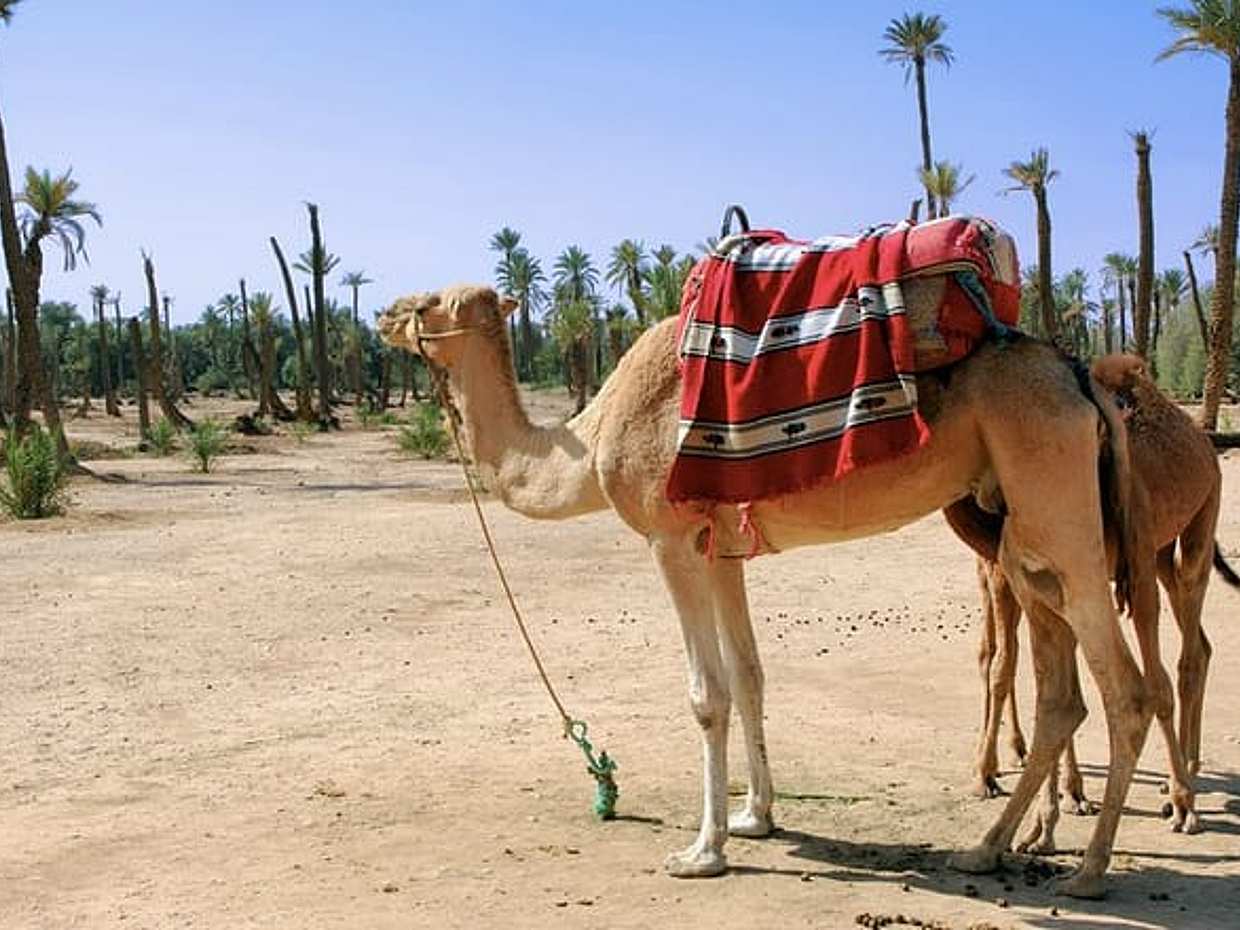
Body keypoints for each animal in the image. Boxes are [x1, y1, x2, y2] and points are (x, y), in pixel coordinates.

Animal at [379, 283, 1155, 899]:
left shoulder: (670, 539)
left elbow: (707, 695)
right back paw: (989, 848)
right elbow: (749, 675)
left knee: (1126, 690)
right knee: (1063, 694)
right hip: (1021, 531)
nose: (384, 314)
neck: (591, 440)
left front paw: (703, 850)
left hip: (1056, 502)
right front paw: (756, 816)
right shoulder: (721, 550)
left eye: (428, 302)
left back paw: (1088, 872)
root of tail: (1080, 377)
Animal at [949, 354, 1236, 838]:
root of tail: (1200, 437)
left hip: (1200, 516)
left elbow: (1140, 683)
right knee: (1198, 642)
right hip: (1159, 552)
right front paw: (1047, 812)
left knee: (1189, 653)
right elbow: (1027, 672)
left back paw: (1184, 791)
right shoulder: (1026, 575)